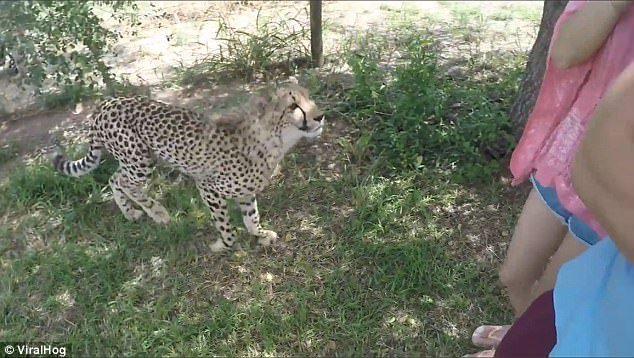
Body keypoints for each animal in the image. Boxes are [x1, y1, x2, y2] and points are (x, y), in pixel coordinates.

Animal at [51, 83, 324, 252]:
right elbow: (225, 224)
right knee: (124, 181)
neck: (274, 140)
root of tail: (106, 105)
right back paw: (158, 212)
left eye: (309, 97)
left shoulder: (245, 193)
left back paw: (131, 213)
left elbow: (251, 217)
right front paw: (224, 245)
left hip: (135, 160)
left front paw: (260, 235)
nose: (320, 116)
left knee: (114, 179)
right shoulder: (207, 186)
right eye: (293, 106)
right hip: (140, 161)